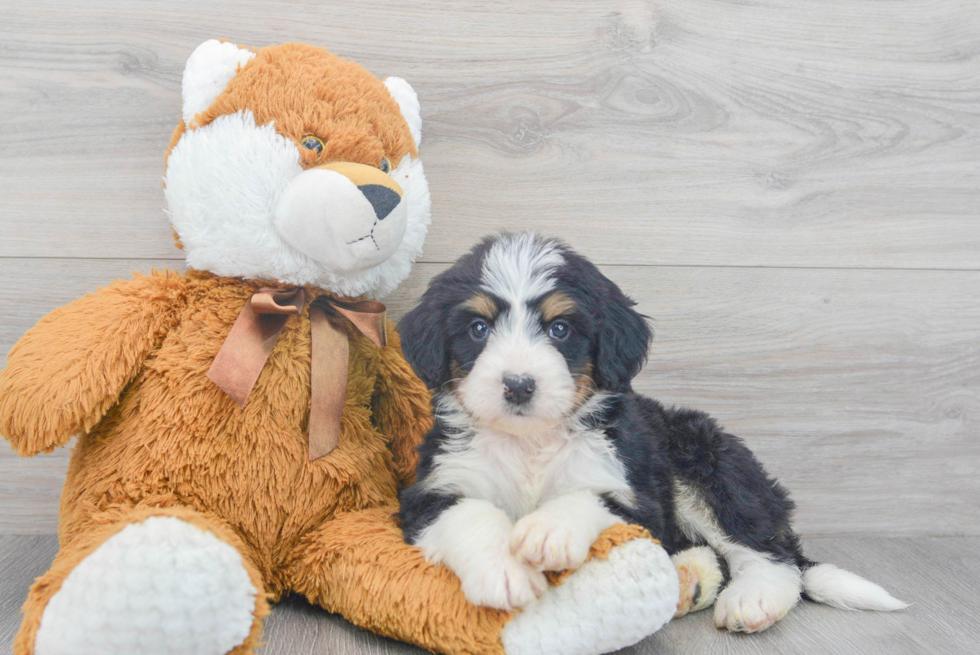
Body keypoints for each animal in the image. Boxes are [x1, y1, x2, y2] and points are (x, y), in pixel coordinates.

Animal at [394, 233, 908, 632]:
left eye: (560, 329)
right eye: (478, 328)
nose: (519, 385)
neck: (531, 444)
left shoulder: (634, 495)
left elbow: (587, 497)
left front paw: (547, 531)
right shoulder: (432, 490)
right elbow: (472, 513)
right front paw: (505, 571)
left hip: (705, 461)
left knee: (768, 551)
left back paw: (752, 599)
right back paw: (687, 580)